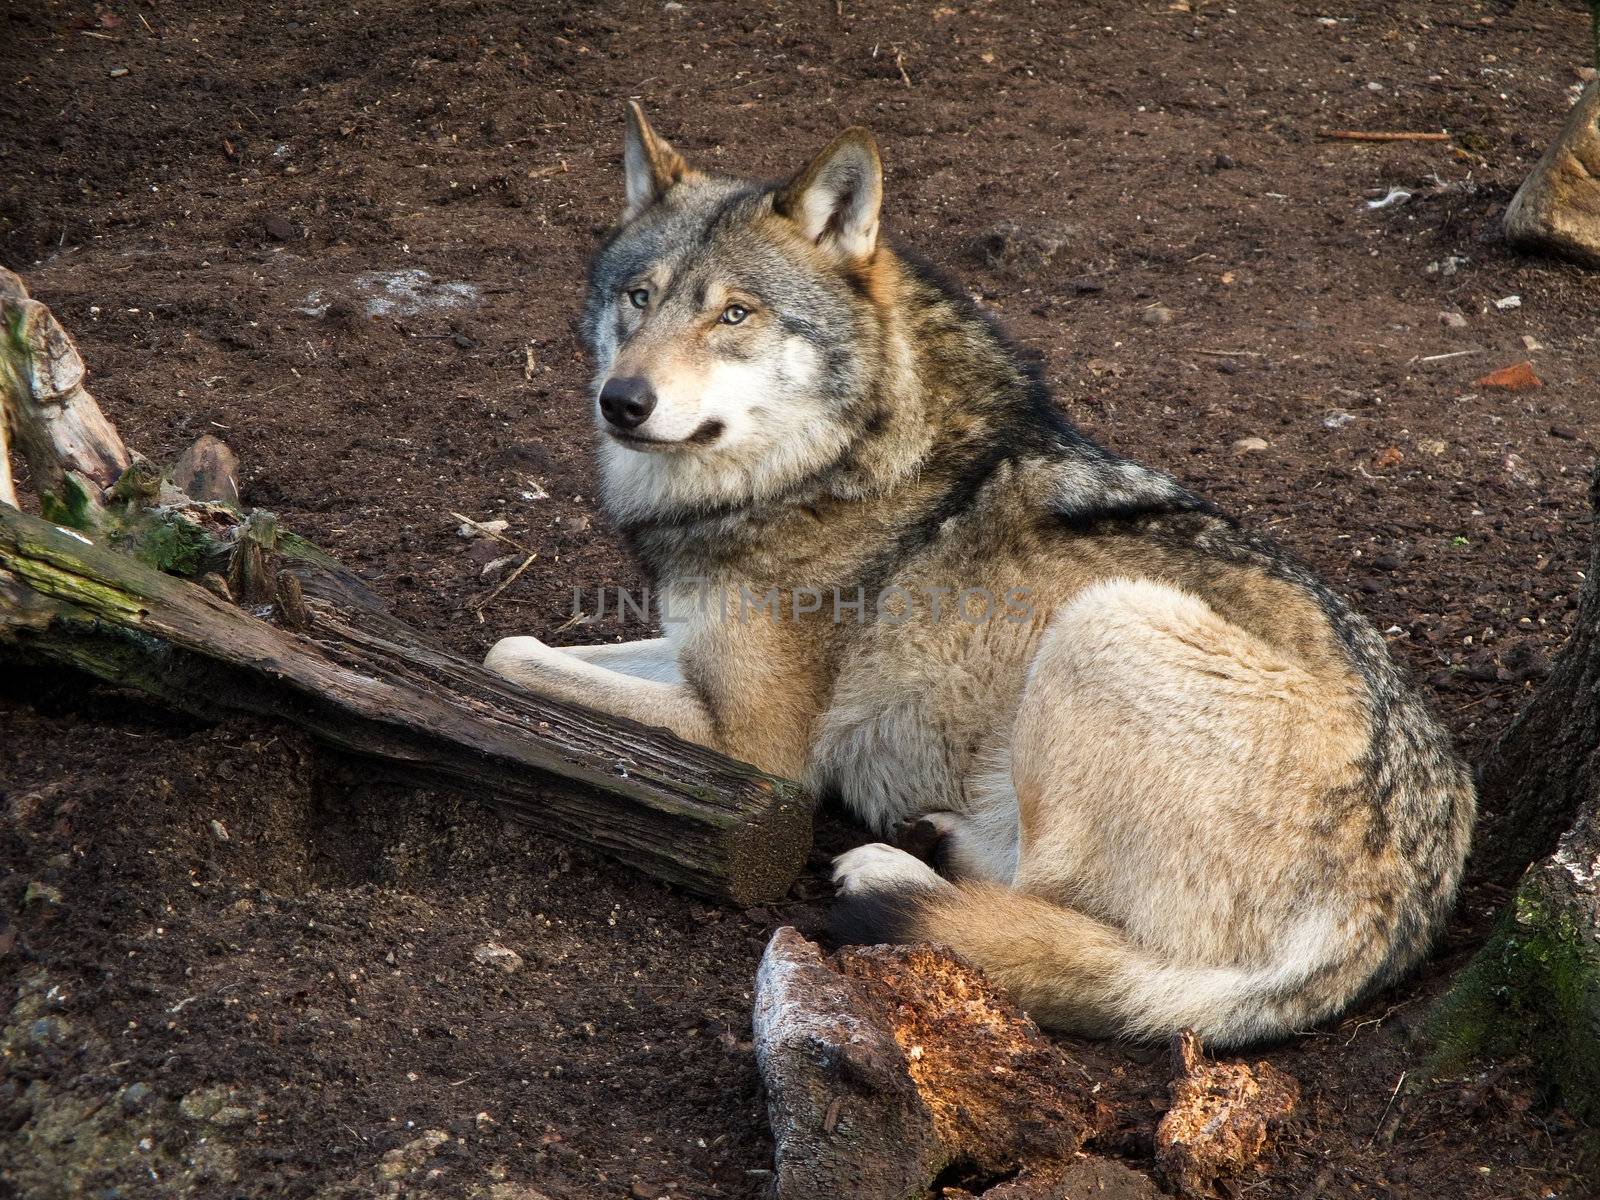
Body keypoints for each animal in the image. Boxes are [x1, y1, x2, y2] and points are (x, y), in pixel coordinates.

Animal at [486, 103, 1472, 1049]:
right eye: (638, 297)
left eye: (735, 314)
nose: (623, 400)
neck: (832, 462)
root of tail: (1392, 909)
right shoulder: (696, 655)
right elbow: (519, 645)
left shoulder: (756, 746)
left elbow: (521, 664)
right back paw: (926, 837)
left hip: (1102, 626)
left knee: (1047, 915)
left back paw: (889, 871)